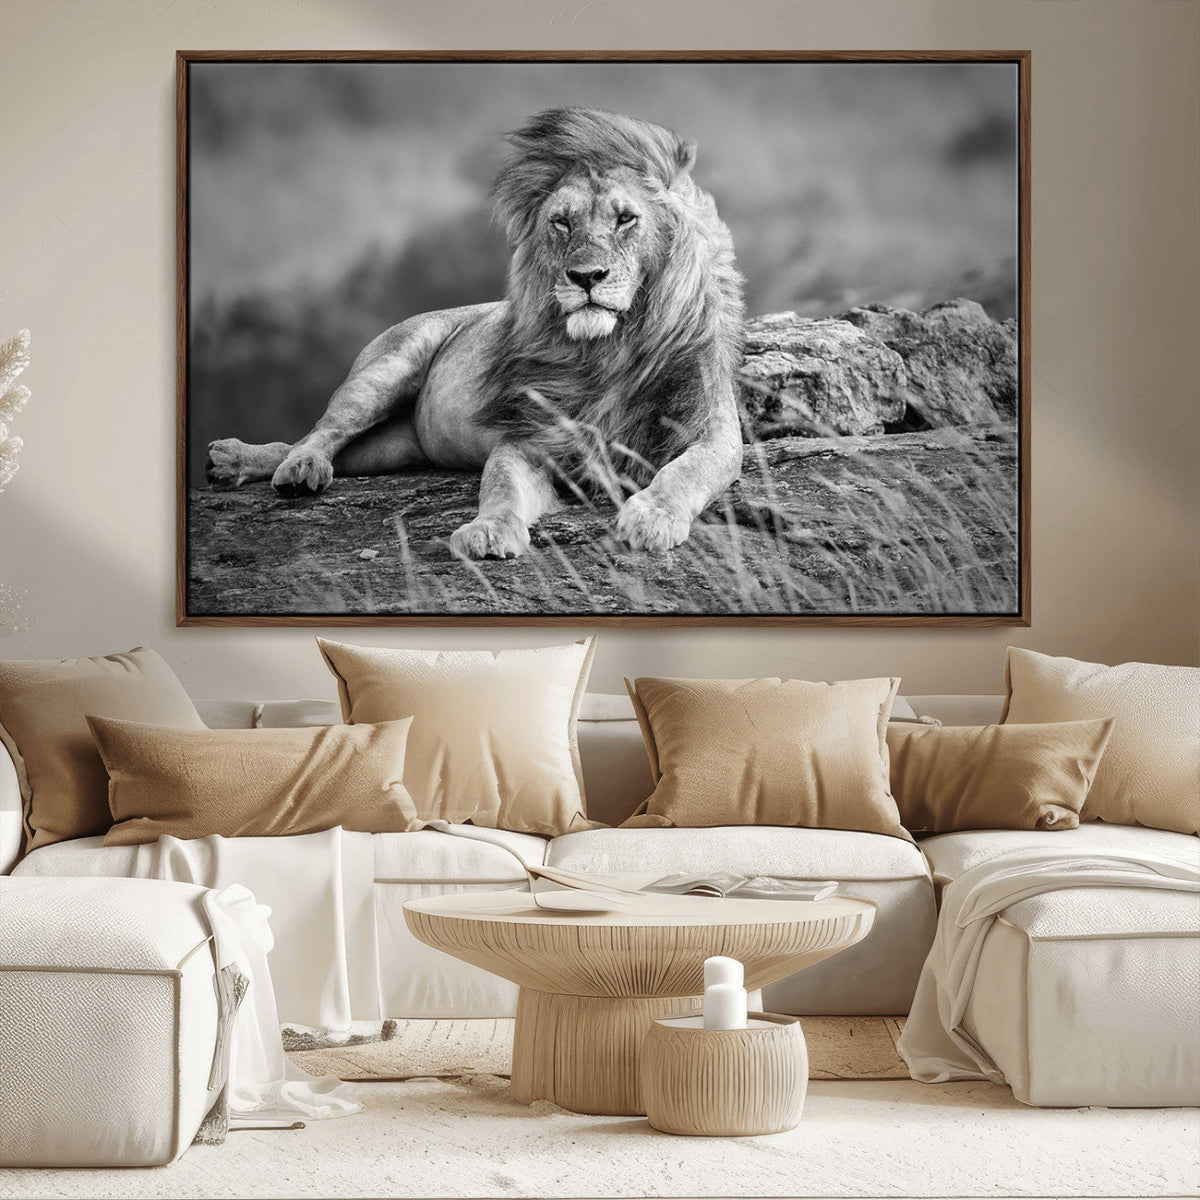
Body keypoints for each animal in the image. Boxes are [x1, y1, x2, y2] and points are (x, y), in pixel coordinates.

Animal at [206, 106, 745, 557]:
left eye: (626, 218)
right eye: (561, 223)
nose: (586, 277)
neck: (608, 350)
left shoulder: (712, 431)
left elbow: (684, 472)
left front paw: (652, 517)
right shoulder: (529, 437)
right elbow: (500, 486)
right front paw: (488, 531)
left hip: (394, 448)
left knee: (320, 446)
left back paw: (238, 462)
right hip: (385, 369)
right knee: (320, 432)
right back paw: (284, 467)